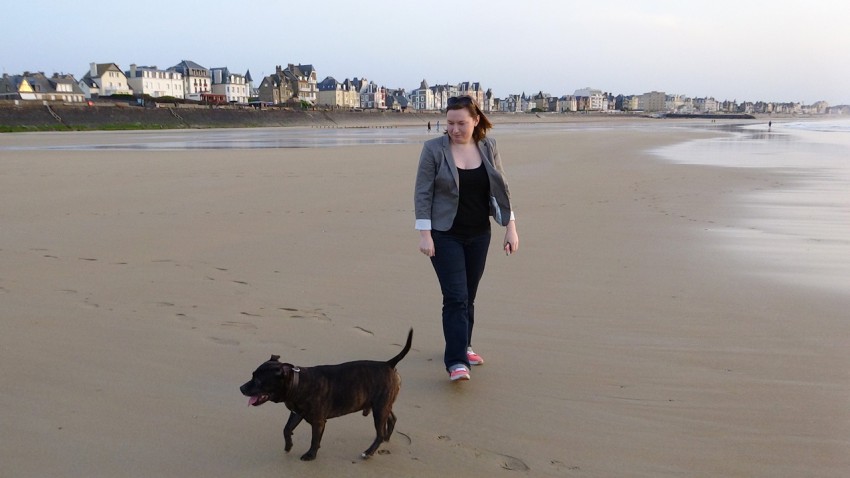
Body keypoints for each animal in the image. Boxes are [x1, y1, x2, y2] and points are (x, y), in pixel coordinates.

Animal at [240, 328, 412, 460]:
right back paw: (387, 438)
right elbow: (286, 429)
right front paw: (288, 445)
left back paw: (369, 452)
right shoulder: (296, 413)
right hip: (383, 405)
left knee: (379, 433)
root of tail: (388, 364)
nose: (241, 388)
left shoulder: (318, 422)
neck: (297, 383)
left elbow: (315, 440)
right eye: (252, 375)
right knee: (391, 419)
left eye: (258, 380)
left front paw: (310, 455)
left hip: (379, 409)